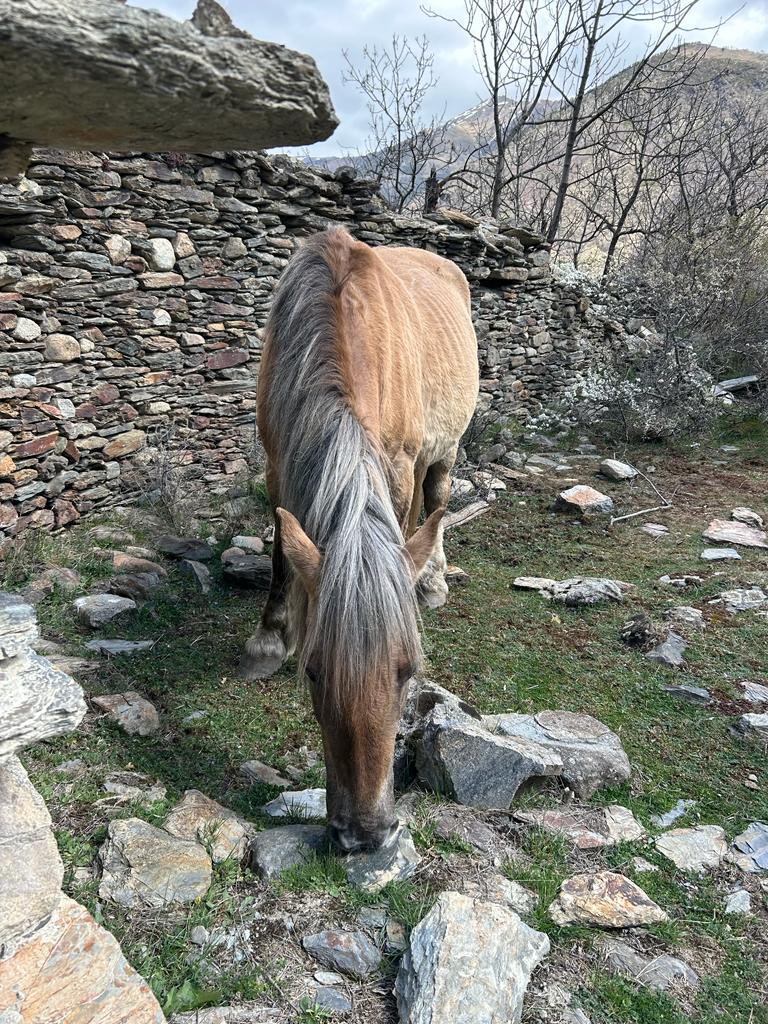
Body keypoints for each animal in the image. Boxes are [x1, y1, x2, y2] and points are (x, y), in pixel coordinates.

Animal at [242, 226, 478, 853]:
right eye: (313, 671)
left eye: (407, 672)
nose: (366, 834)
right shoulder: (278, 462)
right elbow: (282, 552)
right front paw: (270, 638)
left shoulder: (395, 465)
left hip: (442, 447)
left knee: (436, 497)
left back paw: (432, 580)